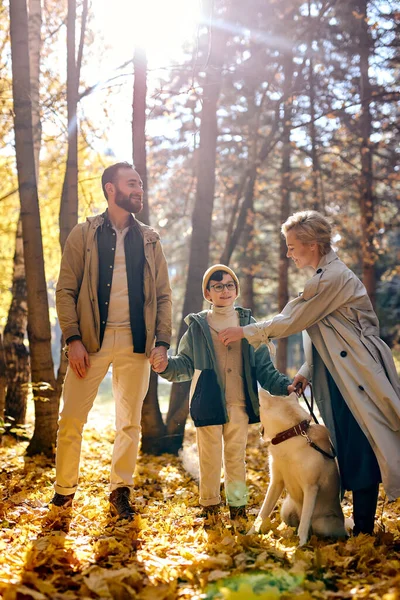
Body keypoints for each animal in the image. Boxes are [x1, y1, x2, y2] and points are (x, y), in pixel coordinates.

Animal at [250, 386, 346, 548]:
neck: (290, 436)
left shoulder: (311, 487)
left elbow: (304, 522)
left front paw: (300, 546)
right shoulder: (276, 482)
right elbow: (262, 513)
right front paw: (249, 534)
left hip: (323, 523)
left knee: (314, 528)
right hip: (286, 510)